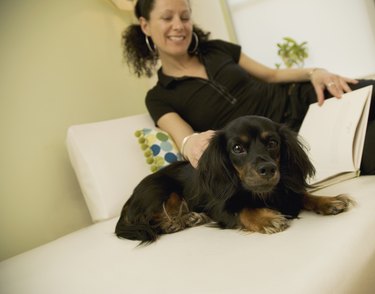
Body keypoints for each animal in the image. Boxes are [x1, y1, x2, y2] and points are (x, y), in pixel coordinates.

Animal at [115, 115, 356, 243]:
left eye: (273, 143)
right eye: (237, 148)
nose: (268, 169)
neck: (261, 193)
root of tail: (129, 199)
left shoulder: (287, 193)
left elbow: (303, 195)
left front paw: (329, 201)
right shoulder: (221, 208)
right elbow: (244, 209)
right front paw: (266, 219)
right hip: (164, 192)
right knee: (151, 220)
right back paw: (178, 222)